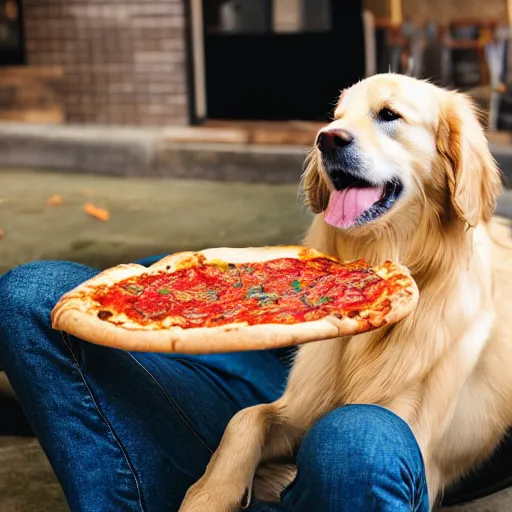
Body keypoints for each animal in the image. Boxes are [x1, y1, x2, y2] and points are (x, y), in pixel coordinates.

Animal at [179, 73, 512, 512]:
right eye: (336, 116)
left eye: (389, 114)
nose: (327, 140)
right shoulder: (297, 408)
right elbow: (246, 418)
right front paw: (209, 493)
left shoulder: (415, 439)